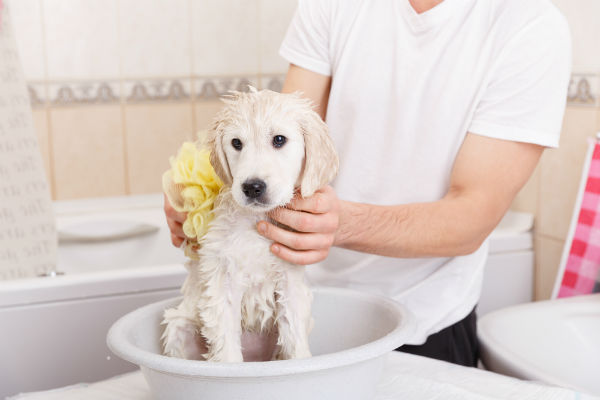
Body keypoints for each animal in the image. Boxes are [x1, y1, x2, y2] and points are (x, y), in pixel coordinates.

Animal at [161, 87, 338, 362]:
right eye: (236, 143)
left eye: (279, 139)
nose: (252, 187)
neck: (256, 222)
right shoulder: (222, 283)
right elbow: (227, 349)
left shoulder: (290, 282)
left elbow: (295, 340)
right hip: (180, 327)